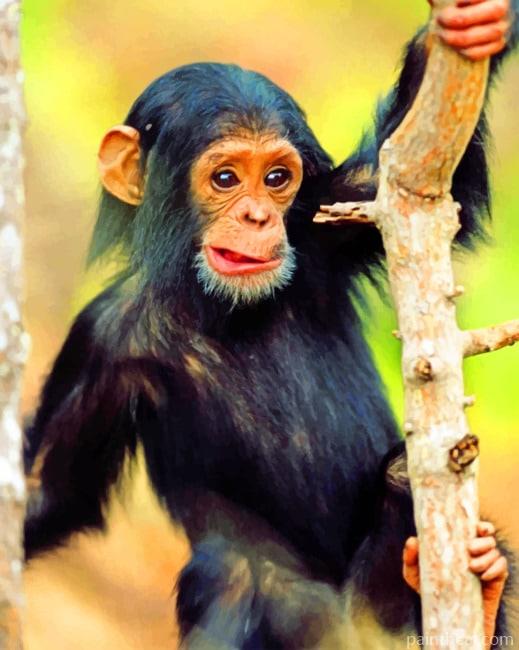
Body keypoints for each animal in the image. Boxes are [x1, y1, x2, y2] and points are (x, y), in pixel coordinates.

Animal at [24, 0, 518, 647]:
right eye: (226, 178)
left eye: (277, 178)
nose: (259, 216)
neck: (220, 306)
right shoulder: (102, 342)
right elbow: (51, 490)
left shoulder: (328, 221)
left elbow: (425, 176)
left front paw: (477, 29)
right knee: (229, 569)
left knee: (400, 477)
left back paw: (480, 588)